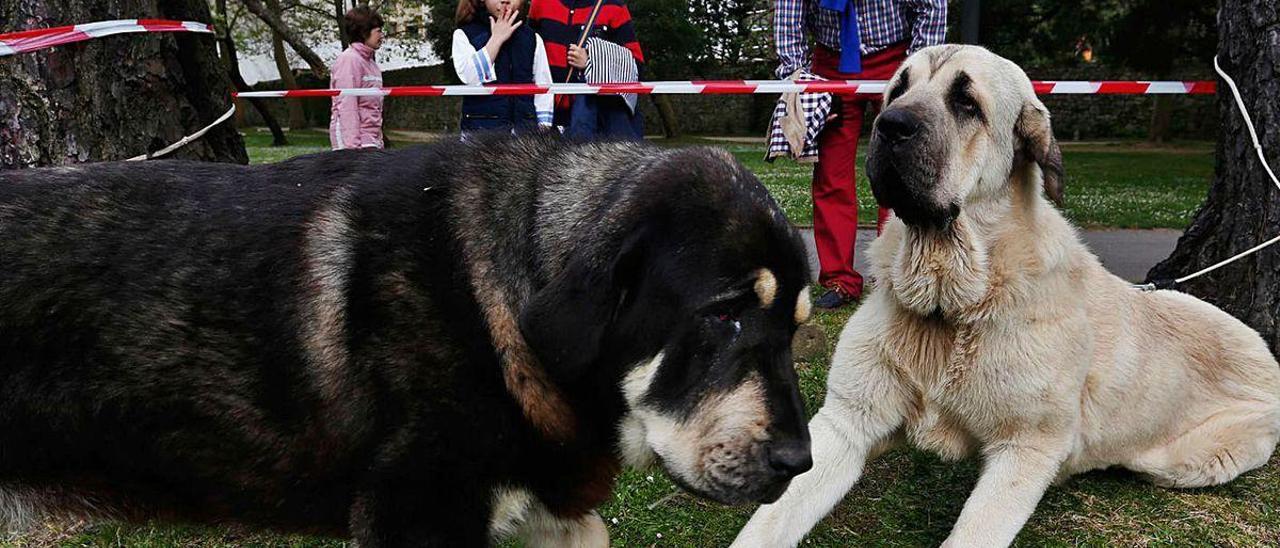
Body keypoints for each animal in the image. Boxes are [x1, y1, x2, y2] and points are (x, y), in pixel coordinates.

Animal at [732, 46, 1280, 548]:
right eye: (898, 89)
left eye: (966, 102)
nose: (889, 125)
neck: (951, 308)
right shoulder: (847, 422)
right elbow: (767, 525)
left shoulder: (1025, 449)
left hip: (1179, 458)